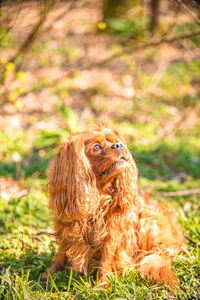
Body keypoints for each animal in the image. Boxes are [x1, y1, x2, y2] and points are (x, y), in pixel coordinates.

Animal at [44, 126, 184, 286]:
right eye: (96, 147)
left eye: (116, 141)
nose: (119, 145)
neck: (99, 198)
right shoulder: (66, 229)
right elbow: (61, 253)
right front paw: (51, 274)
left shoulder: (112, 235)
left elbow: (105, 262)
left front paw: (100, 286)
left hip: (147, 217)